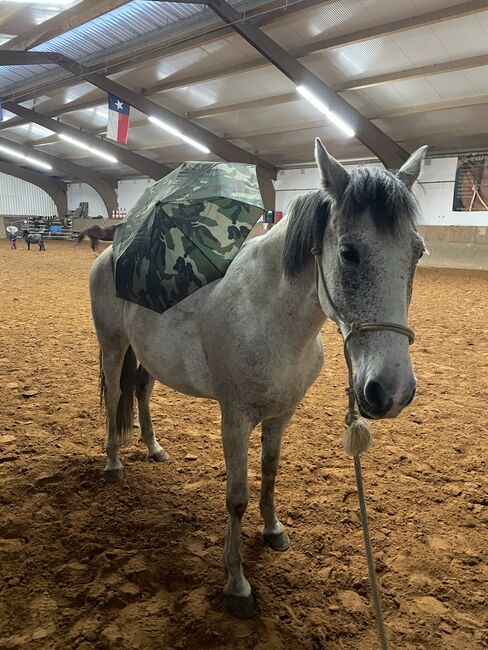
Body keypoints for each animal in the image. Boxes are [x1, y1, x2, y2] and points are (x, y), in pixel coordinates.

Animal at [88, 139, 428, 616]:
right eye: (348, 253)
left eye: (417, 252)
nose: (391, 391)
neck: (268, 316)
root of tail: (108, 255)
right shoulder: (235, 421)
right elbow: (237, 497)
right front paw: (237, 584)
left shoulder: (281, 414)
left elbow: (269, 471)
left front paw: (273, 531)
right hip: (114, 346)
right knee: (115, 393)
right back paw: (114, 463)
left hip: (147, 358)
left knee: (140, 391)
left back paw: (154, 449)